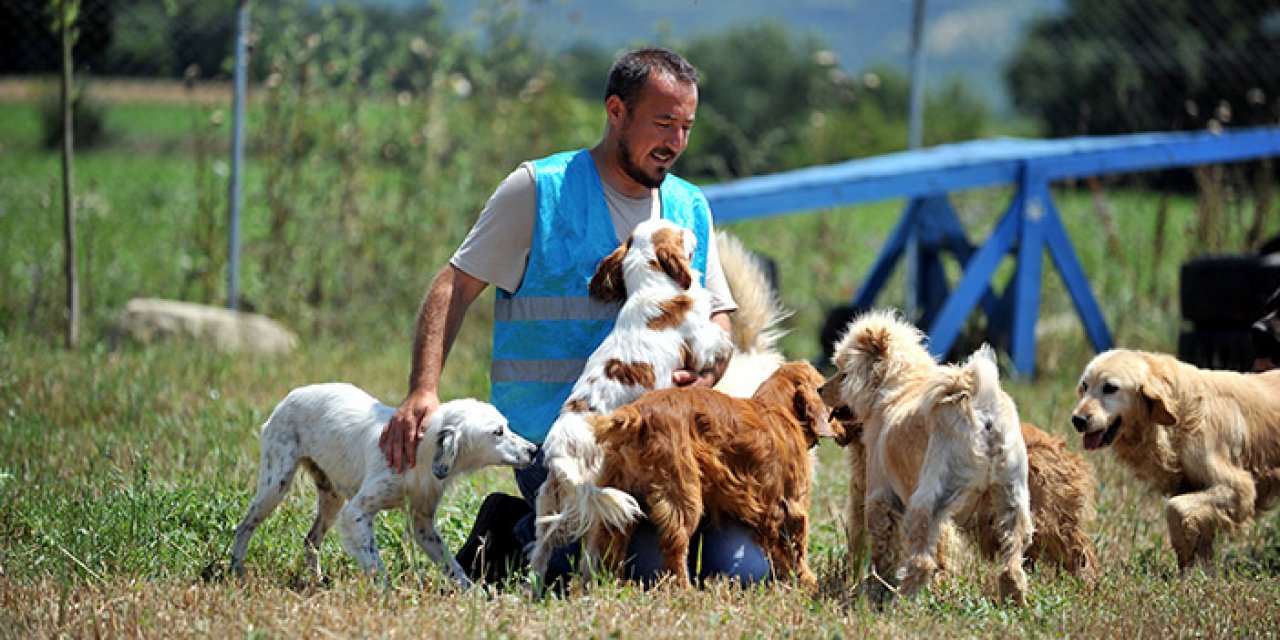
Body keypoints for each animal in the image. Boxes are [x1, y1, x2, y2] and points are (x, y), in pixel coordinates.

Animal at [227, 381, 537, 586]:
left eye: (506, 426)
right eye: (497, 432)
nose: (534, 450)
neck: (421, 452)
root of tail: (291, 395)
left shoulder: (423, 524)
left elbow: (453, 567)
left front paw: (472, 597)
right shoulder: (356, 512)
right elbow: (376, 564)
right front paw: (387, 597)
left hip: (331, 497)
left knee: (310, 540)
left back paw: (318, 581)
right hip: (275, 484)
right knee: (244, 527)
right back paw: (235, 571)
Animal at [527, 218, 732, 581]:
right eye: (679, 232)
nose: (693, 230)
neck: (651, 285)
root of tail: (559, 451)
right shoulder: (699, 344)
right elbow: (717, 341)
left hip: (550, 507)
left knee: (540, 556)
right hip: (601, 506)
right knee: (589, 561)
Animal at [578, 360, 839, 588]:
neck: (779, 409)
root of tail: (636, 413)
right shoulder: (791, 505)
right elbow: (796, 549)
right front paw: (808, 583)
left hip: (621, 495)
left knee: (611, 542)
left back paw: (614, 583)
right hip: (683, 492)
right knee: (674, 546)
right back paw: (684, 589)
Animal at [824, 309, 1034, 604]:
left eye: (842, 373)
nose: (819, 389)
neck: (897, 385)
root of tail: (979, 406)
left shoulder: (879, 497)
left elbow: (881, 552)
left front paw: (875, 586)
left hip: (927, 500)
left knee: (922, 561)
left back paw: (902, 598)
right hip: (1011, 498)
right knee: (1013, 558)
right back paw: (1013, 598)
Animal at [1070, 348, 1280, 573]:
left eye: (1110, 388)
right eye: (1085, 385)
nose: (1077, 420)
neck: (1182, 413)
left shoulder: (1239, 489)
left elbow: (1174, 508)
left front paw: (1185, 558)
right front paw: (1197, 571)